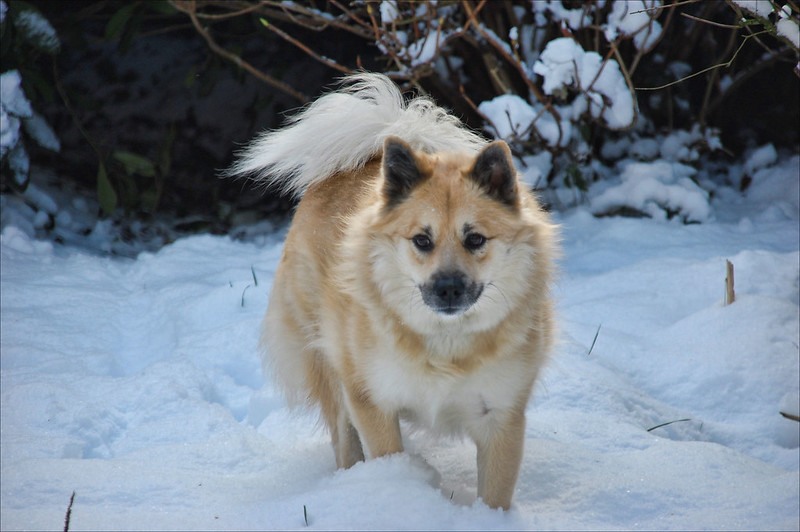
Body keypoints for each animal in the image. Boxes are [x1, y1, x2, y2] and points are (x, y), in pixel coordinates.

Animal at [231, 72, 556, 510]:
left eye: (475, 239)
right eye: (422, 240)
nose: (448, 289)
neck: (445, 344)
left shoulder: (501, 415)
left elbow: (496, 492)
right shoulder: (372, 400)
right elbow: (382, 450)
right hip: (329, 363)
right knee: (343, 437)